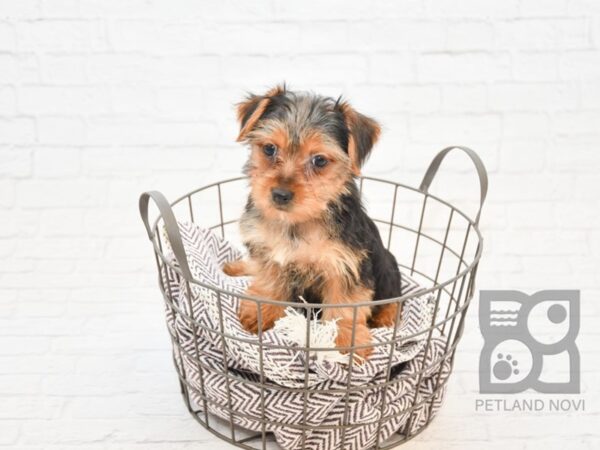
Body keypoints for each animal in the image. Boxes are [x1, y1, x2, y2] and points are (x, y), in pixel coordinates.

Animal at [225, 83, 404, 358]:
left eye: (319, 160)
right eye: (269, 149)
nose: (280, 194)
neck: (300, 222)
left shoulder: (345, 265)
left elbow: (345, 306)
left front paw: (347, 342)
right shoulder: (268, 253)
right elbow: (268, 283)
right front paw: (260, 312)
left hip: (388, 267)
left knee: (393, 298)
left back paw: (386, 317)